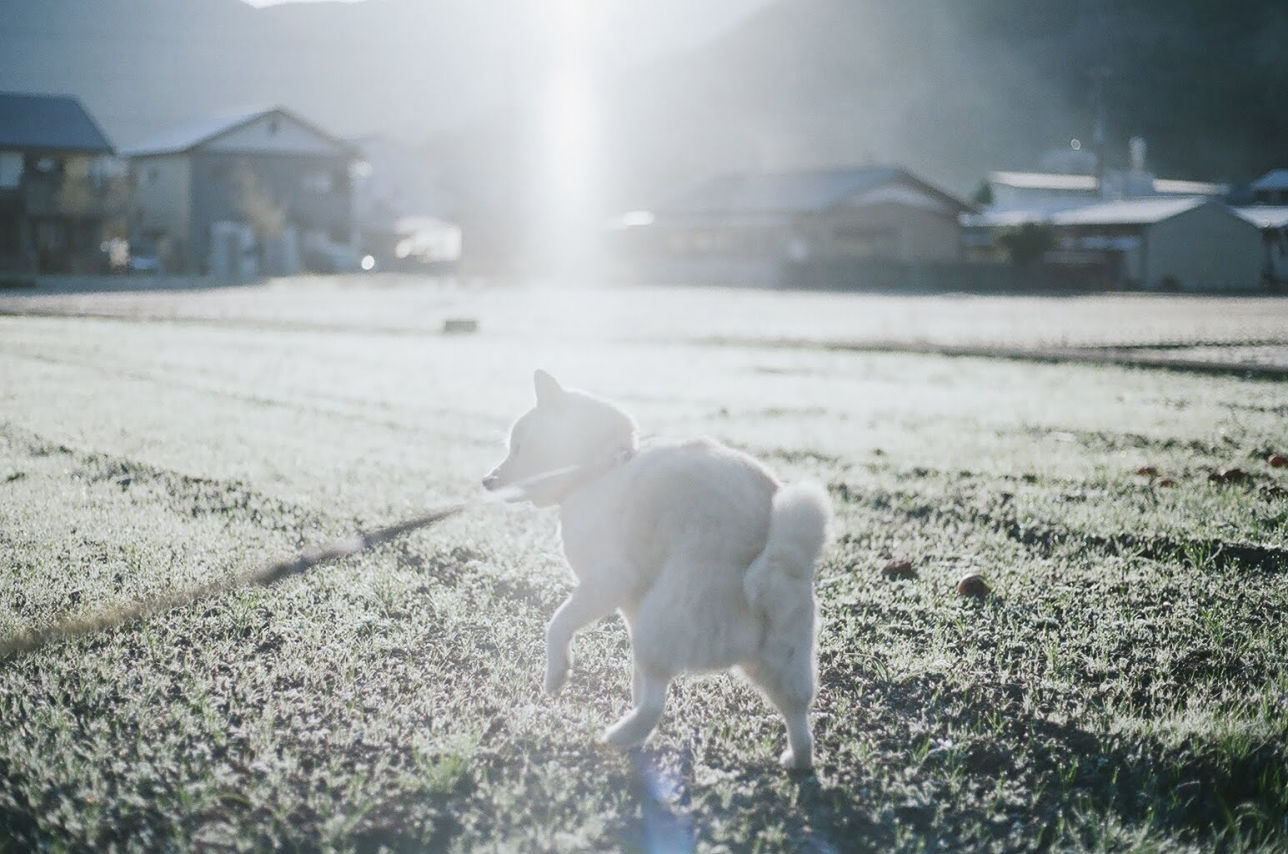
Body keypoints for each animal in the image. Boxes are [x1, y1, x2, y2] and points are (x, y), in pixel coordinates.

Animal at [484, 370, 834, 772]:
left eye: (518, 447)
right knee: (798, 717)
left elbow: (557, 624)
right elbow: (629, 678)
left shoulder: (607, 580)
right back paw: (796, 759)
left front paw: (557, 673)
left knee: (654, 703)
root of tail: (769, 563)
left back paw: (618, 737)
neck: (600, 470)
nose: (487, 480)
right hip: (781, 660)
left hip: (661, 627)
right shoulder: (630, 607)